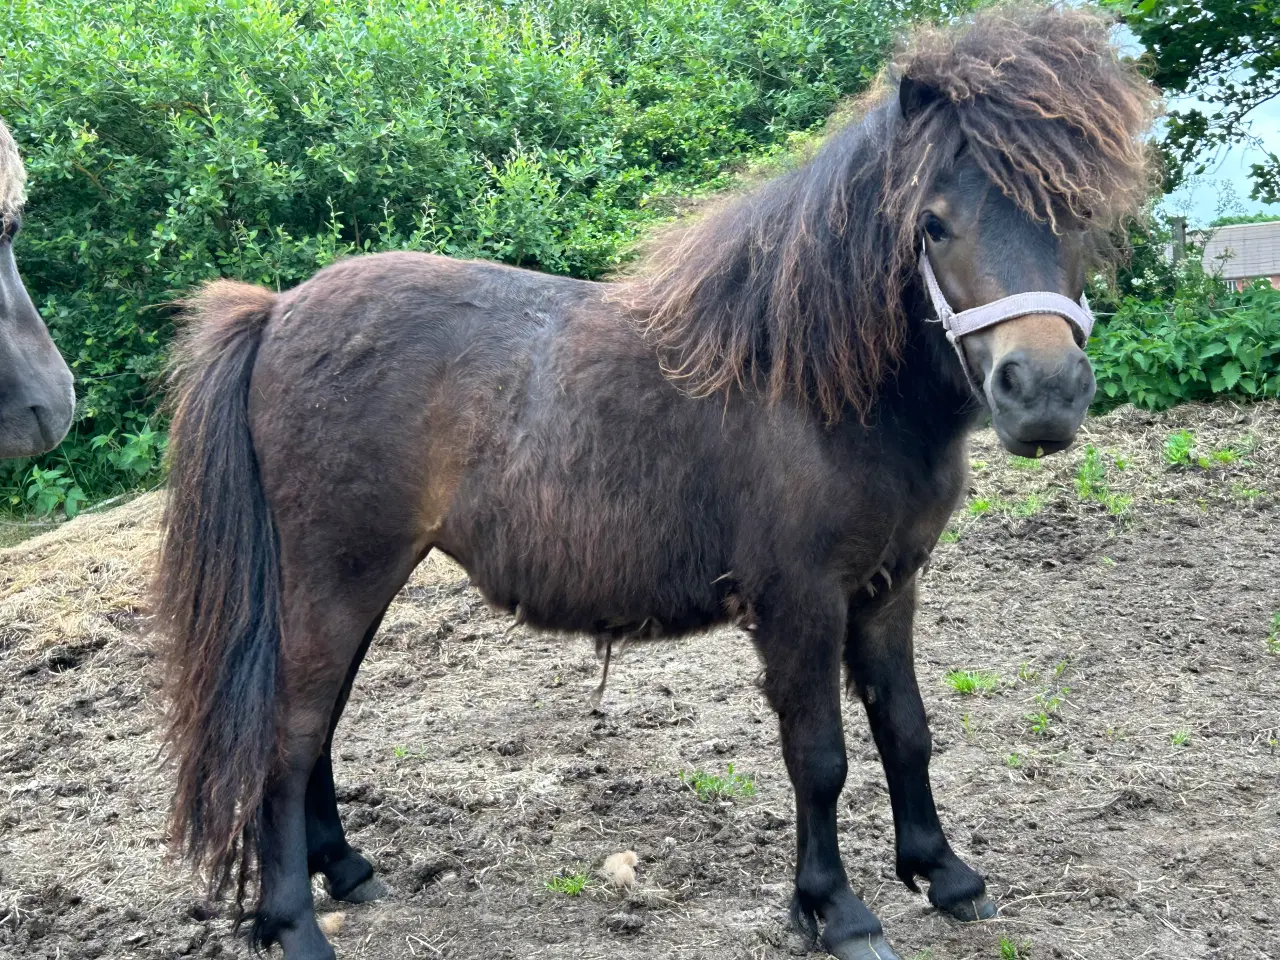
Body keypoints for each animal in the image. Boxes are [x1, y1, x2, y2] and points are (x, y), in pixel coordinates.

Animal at [154, 9, 1157, 960]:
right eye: (935, 222)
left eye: (1074, 217)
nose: (1043, 393)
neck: (813, 383)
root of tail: (277, 312)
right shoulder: (800, 600)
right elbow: (819, 755)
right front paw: (835, 910)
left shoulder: (888, 588)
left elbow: (904, 727)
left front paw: (944, 874)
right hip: (335, 578)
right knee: (288, 737)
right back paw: (293, 923)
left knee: (318, 725)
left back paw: (348, 870)